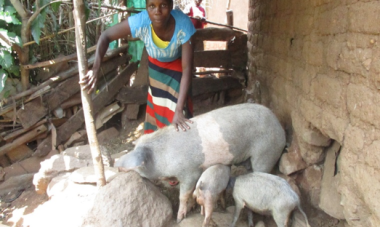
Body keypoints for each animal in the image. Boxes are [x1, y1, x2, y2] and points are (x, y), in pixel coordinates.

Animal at [115, 103, 284, 223]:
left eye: (137, 164)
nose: (116, 163)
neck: (164, 157)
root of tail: (280, 126)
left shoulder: (190, 172)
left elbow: (183, 195)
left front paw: (179, 219)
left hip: (265, 154)